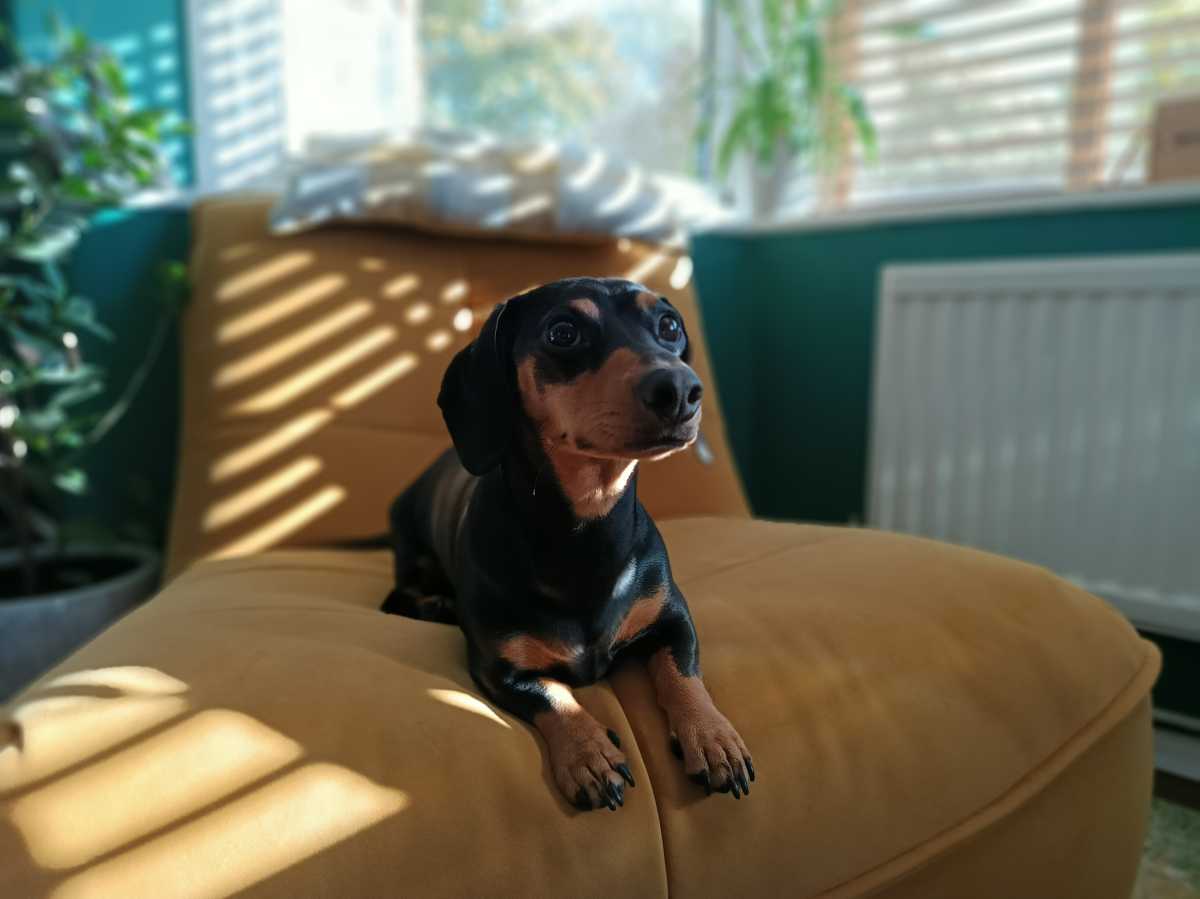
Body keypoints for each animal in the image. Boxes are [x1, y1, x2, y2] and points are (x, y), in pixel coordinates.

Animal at [381, 277, 748, 811]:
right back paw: (435, 604)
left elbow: (683, 674)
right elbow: (553, 697)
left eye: (669, 326)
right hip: (411, 553)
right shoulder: (498, 668)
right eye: (563, 332)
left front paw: (712, 735)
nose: (680, 390)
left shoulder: (673, 618)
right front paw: (588, 753)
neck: (586, 528)